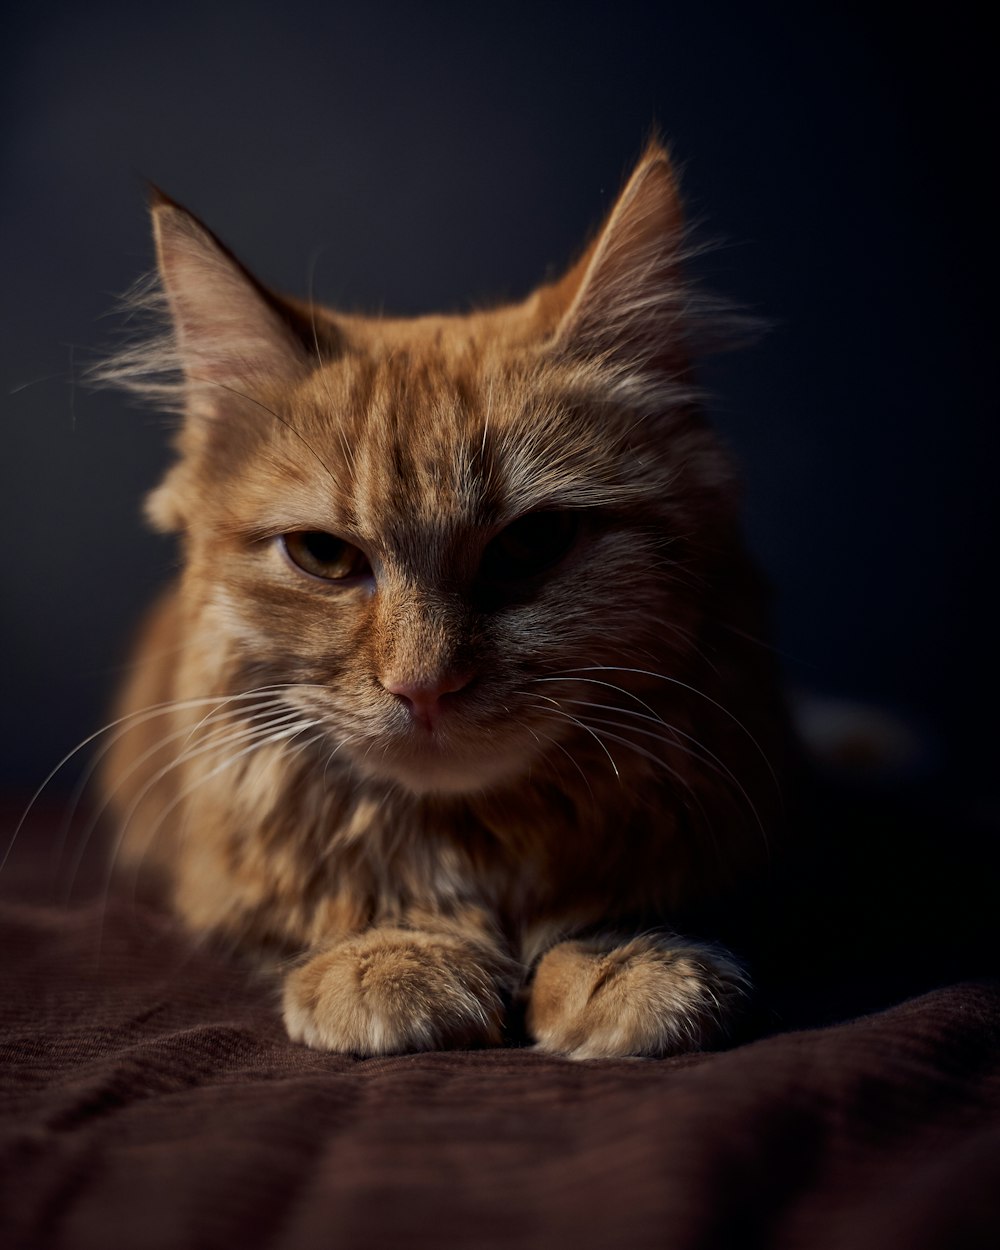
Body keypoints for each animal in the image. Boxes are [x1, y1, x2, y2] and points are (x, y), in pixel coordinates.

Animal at [101, 141, 790, 1055]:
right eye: (325, 556)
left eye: (532, 543)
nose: (423, 688)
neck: (476, 839)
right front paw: (394, 958)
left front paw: (620, 959)